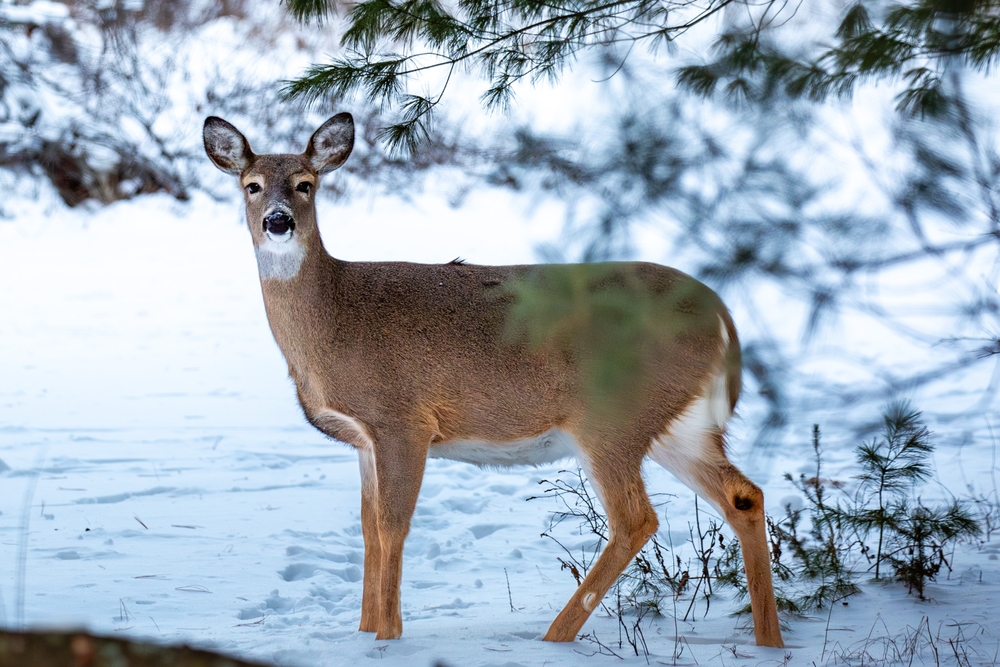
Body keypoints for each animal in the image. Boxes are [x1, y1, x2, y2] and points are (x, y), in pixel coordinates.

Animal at [201, 113, 780, 648]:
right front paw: (364, 633)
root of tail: (721, 314)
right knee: (743, 495)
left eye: (306, 183)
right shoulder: (363, 439)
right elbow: (367, 531)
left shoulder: (402, 419)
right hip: (674, 421)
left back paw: (553, 638)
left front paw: (387, 637)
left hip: (610, 417)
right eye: (251, 185)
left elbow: (392, 528)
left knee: (636, 520)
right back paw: (768, 641)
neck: (333, 319)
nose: (278, 221)